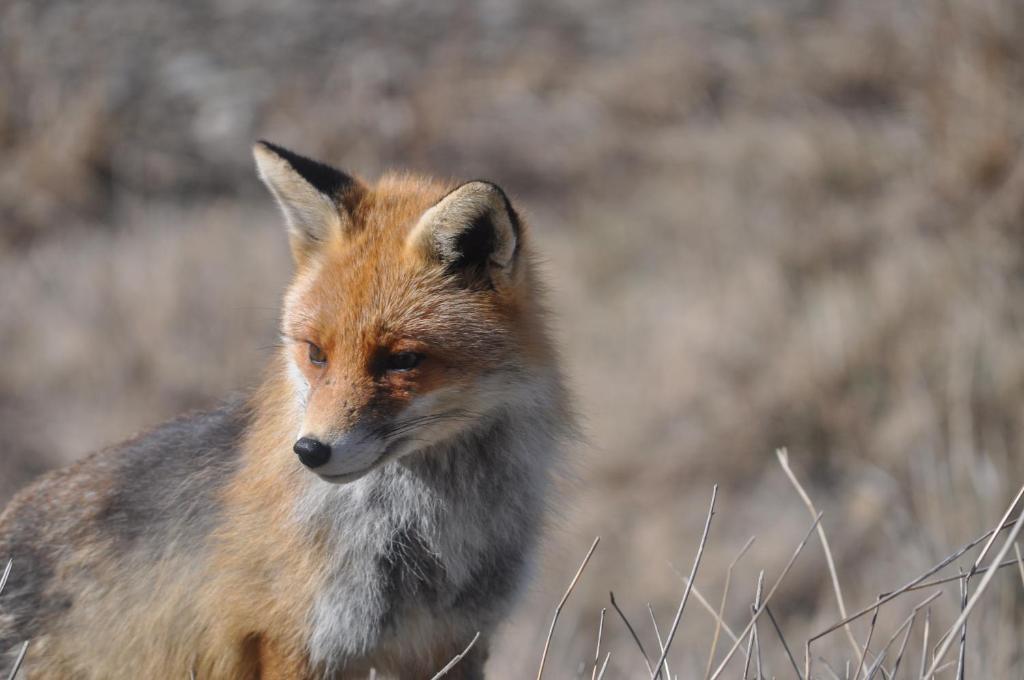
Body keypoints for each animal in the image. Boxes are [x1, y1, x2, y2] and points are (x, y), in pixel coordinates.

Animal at [0, 140, 573, 675]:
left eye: (402, 360)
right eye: (316, 353)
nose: (310, 451)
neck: (421, 538)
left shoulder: (455, 641)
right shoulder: (293, 638)